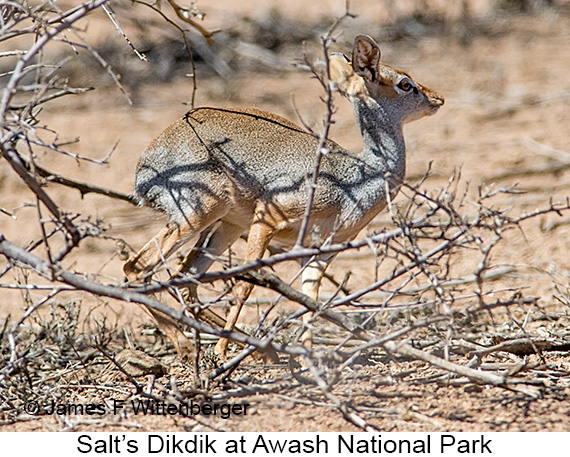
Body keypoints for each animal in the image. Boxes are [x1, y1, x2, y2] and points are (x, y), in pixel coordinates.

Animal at [123, 34, 444, 360]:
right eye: (405, 83)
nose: (438, 98)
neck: (356, 179)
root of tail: (144, 168)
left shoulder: (318, 252)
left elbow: (310, 300)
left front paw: (309, 359)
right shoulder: (269, 214)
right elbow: (244, 286)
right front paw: (225, 351)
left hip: (227, 224)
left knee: (185, 278)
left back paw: (256, 351)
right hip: (200, 212)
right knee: (136, 268)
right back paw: (191, 347)